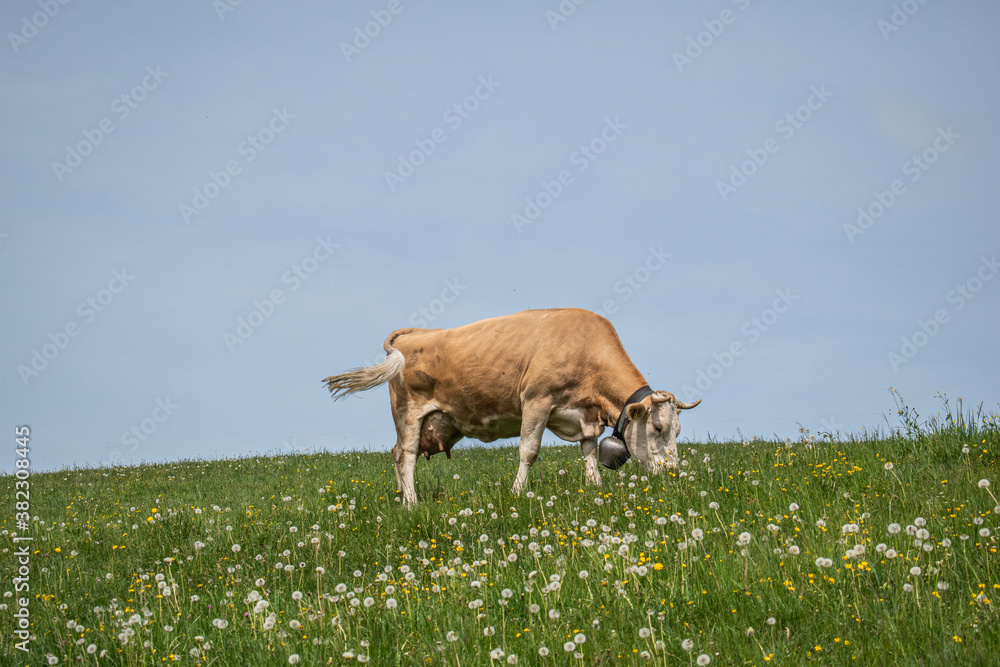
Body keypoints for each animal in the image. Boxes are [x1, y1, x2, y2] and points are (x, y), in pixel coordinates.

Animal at [324, 310, 700, 506]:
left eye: (679, 430)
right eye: (658, 428)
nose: (673, 473)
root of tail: (411, 333)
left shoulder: (584, 416)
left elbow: (589, 452)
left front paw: (594, 486)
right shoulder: (536, 400)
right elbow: (529, 450)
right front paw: (518, 492)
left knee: (395, 453)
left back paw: (403, 497)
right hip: (409, 414)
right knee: (406, 456)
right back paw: (413, 503)